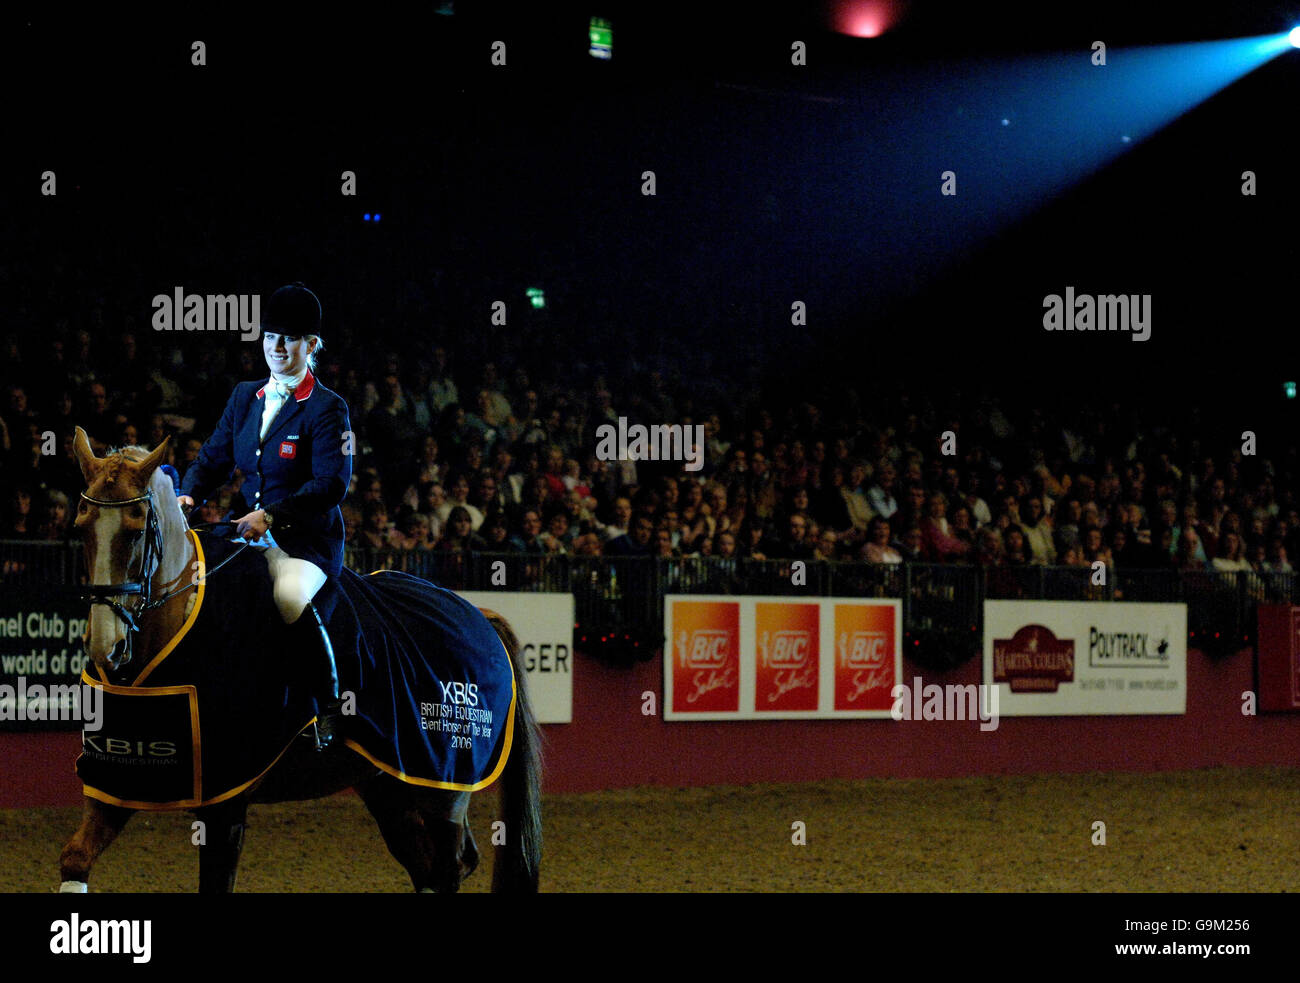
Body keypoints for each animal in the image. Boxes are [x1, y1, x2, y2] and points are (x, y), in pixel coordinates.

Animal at [55, 426, 540, 894]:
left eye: (137, 531)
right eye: (81, 527)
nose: (106, 646)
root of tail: (478, 614)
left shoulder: (226, 797)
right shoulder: (120, 780)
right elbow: (75, 858)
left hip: (446, 784)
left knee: (448, 866)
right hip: (388, 781)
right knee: (428, 869)